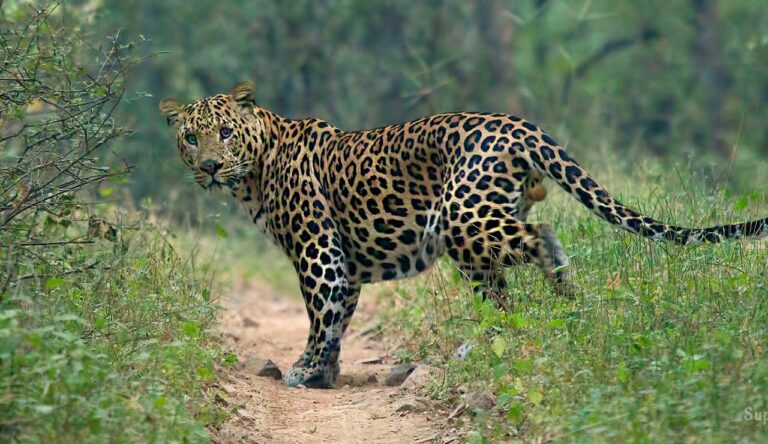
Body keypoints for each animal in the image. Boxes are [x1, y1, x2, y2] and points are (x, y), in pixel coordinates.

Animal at [159, 81, 768, 388]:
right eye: (190, 137)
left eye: (224, 134)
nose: (208, 166)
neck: (256, 170)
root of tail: (520, 124)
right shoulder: (345, 265)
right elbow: (339, 316)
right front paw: (325, 373)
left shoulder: (319, 252)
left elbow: (319, 314)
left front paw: (305, 370)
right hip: (475, 238)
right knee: (502, 295)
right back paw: (500, 340)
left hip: (463, 215)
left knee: (542, 236)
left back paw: (564, 296)